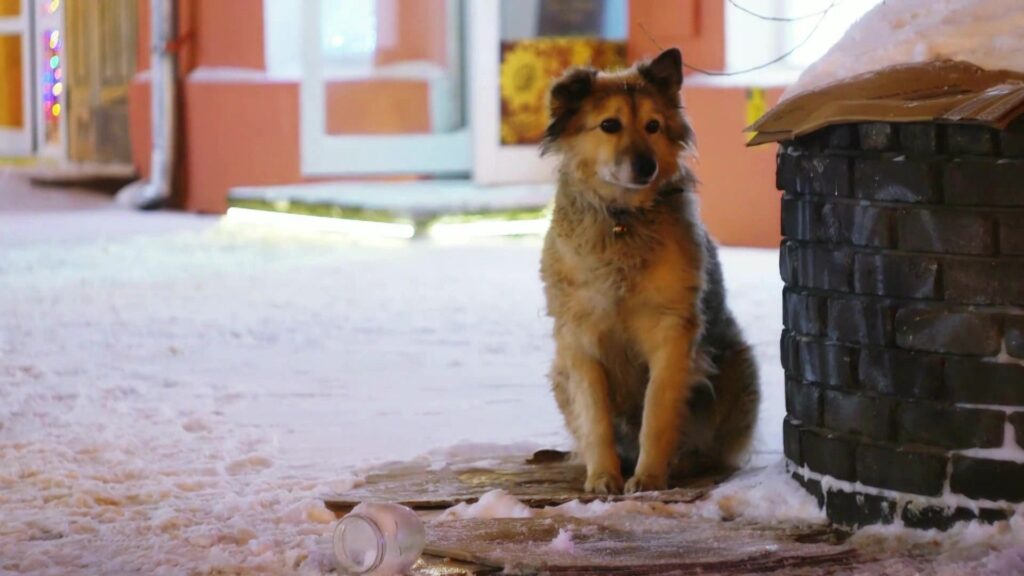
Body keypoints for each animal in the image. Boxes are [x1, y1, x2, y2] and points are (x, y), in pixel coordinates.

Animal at [540, 47, 757, 491]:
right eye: (609, 125)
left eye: (653, 126)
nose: (646, 166)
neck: (623, 220)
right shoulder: (579, 339)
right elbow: (595, 418)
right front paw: (603, 476)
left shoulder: (672, 331)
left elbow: (657, 412)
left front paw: (649, 476)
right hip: (558, 372)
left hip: (739, 366)